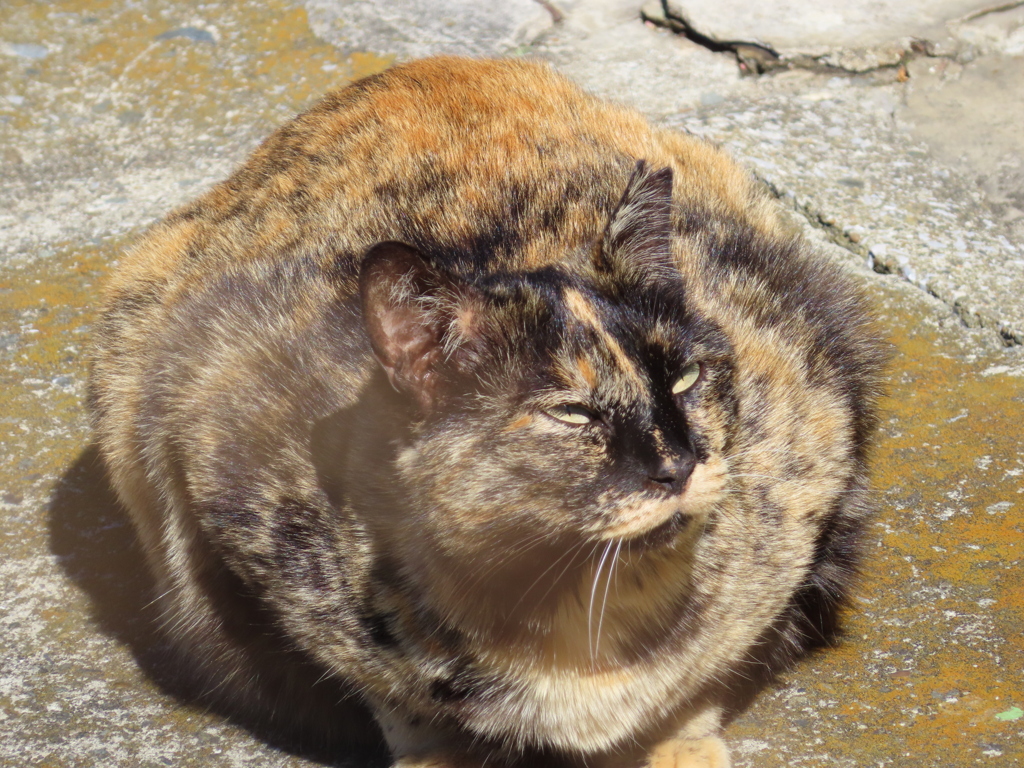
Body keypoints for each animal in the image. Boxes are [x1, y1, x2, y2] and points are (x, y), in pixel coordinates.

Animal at [90, 58, 888, 768]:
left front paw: (676, 742)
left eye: (688, 375)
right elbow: (394, 694)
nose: (678, 463)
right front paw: (441, 754)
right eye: (572, 414)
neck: (578, 613)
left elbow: (699, 674)